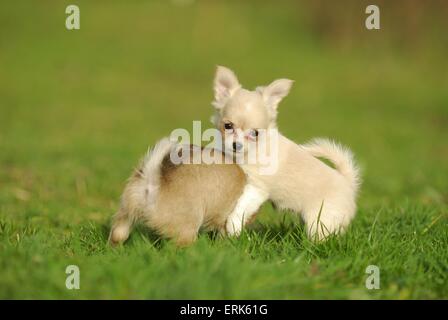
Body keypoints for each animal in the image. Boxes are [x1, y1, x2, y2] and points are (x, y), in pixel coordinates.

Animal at [212, 65, 362, 240]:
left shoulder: (256, 188)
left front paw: (232, 227)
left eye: (255, 133)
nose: (237, 145)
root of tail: (347, 182)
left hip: (320, 220)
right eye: (228, 126)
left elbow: (240, 207)